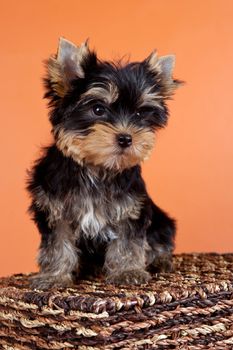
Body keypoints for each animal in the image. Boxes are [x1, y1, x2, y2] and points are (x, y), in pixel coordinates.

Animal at [26, 38, 180, 290]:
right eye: (98, 109)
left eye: (139, 114)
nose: (126, 138)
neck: (96, 168)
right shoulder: (55, 208)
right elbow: (57, 243)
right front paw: (54, 275)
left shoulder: (130, 208)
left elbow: (128, 242)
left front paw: (128, 271)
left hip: (161, 221)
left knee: (159, 241)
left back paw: (160, 260)